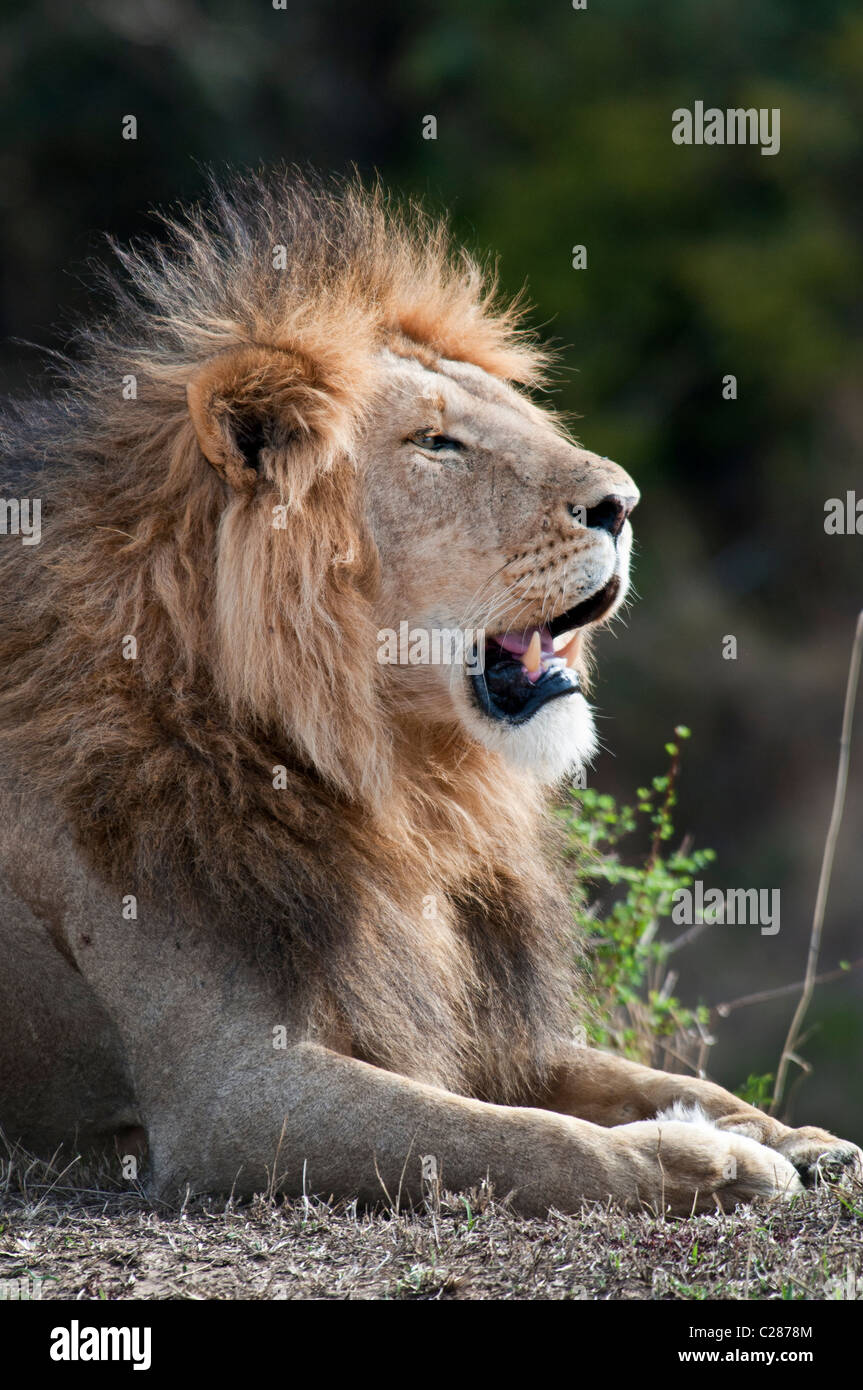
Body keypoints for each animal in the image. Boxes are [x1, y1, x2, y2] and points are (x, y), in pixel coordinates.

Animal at [0, 170, 858, 1215]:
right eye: (437, 443)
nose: (622, 503)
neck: (395, 788)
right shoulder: (228, 1094)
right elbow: (520, 1140)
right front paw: (712, 1163)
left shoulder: (471, 1020)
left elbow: (644, 1076)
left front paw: (792, 1136)